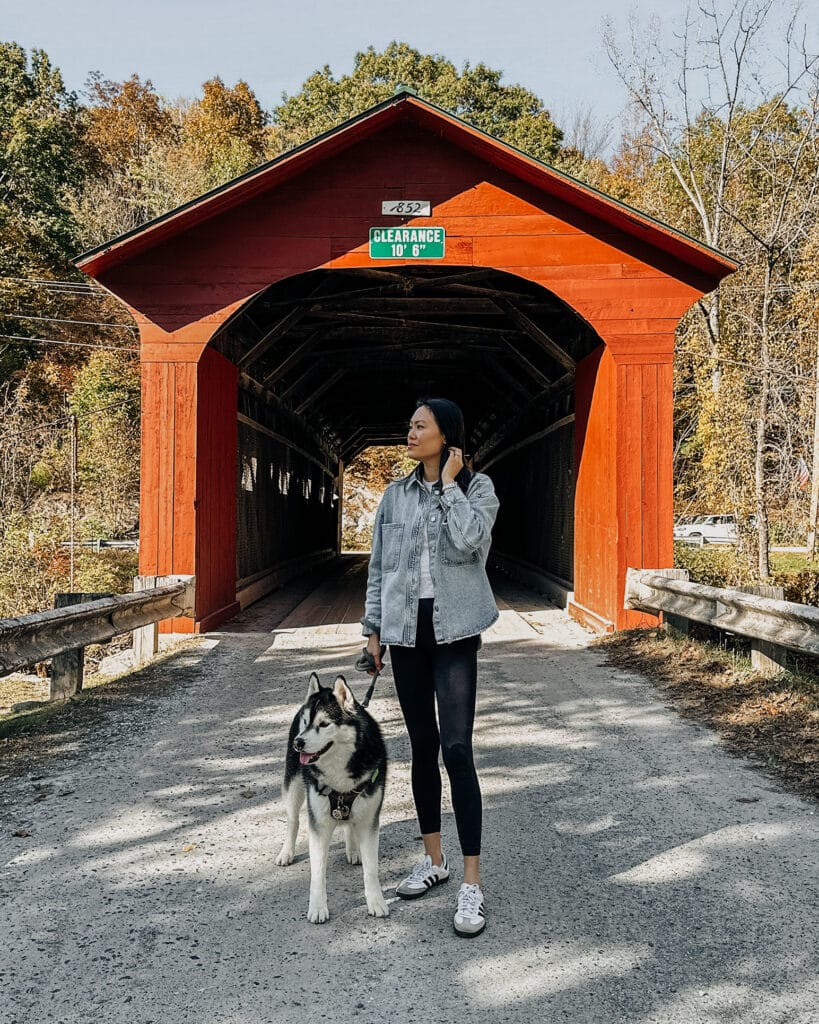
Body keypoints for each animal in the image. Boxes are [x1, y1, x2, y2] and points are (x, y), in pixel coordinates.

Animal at [276, 671, 389, 921]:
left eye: (324, 724)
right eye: (306, 722)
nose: (299, 742)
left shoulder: (369, 820)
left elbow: (371, 869)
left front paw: (376, 901)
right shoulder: (319, 823)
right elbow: (318, 872)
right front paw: (318, 907)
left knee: (348, 823)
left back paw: (353, 849)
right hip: (294, 785)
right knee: (293, 820)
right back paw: (286, 852)